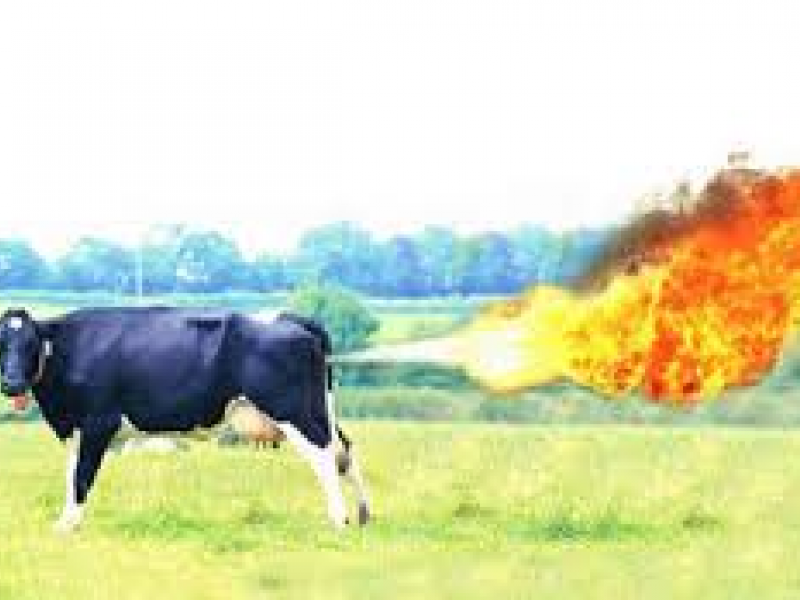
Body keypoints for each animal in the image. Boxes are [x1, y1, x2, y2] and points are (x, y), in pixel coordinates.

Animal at [0, 307, 371, 533]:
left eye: (31, 343)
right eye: (1, 343)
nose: (12, 383)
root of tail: (292, 318)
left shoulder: (96, 424)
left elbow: (81, 477)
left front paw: (69, 526)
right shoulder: (76, 431)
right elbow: (71, 475)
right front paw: (65, 522)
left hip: (294, 411)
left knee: (324, 457)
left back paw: (339, 520)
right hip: (318, 409)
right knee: (343, 450)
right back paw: (364, 515)